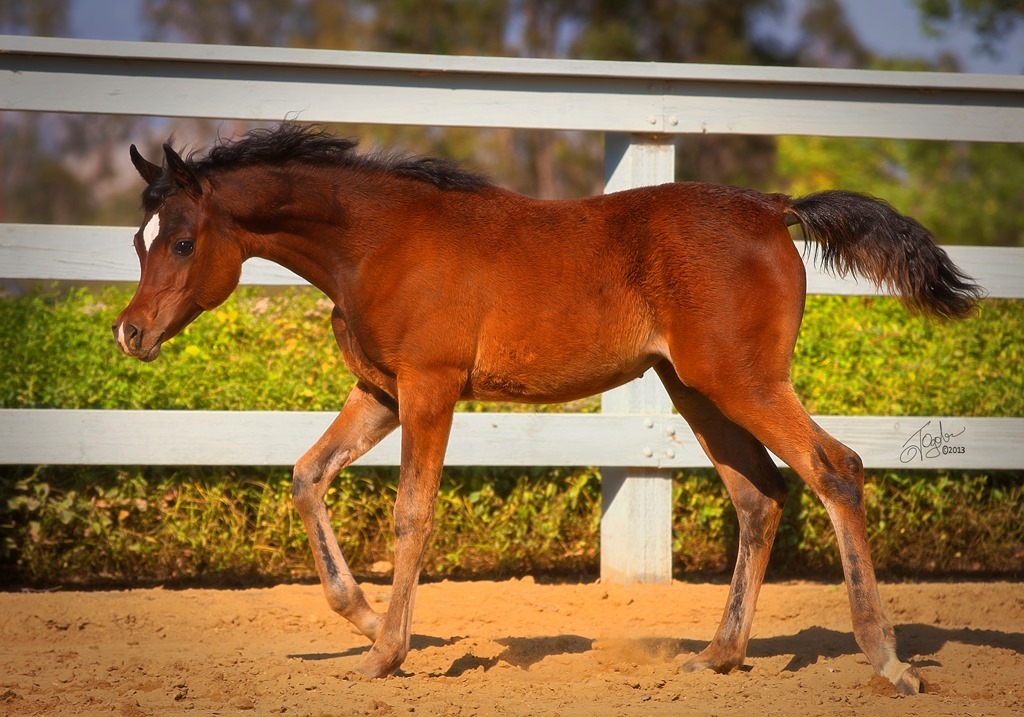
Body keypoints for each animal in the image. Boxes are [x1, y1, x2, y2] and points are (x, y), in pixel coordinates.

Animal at [114, 123, 982, 693]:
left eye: (183, 241)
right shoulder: (382, 391)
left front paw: (386, 651)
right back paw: (718, 654)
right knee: (758, 494)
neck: (375, 242)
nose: (130, 331)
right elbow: (306, 474)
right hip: (695, 387)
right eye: (137, 239)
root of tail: (773, 207)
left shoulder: (429, 388)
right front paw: (359, 615)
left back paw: (888, 660)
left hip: (745, 381)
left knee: (836, 468)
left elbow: (412, 513)